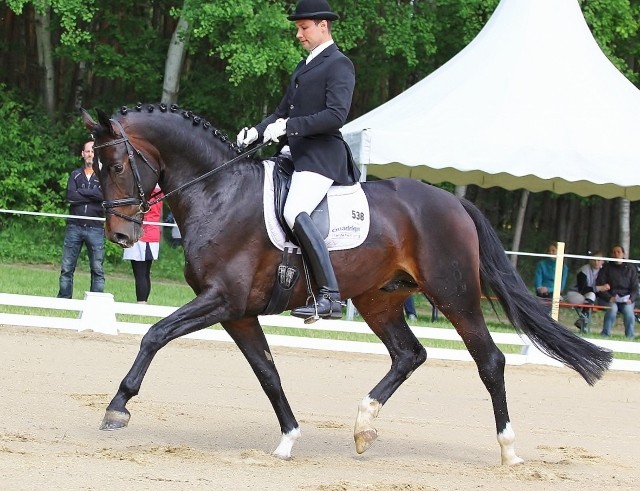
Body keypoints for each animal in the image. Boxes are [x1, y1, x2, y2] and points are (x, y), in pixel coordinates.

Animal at [80, 103, 608, 466]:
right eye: (97, 168)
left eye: (118, 166)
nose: (121, 235)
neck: (219, 192)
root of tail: (455, 203)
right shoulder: (239, 313)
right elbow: (267, 372)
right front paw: (288, 438)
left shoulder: (221, 301)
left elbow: (155, 334)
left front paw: (117, 408)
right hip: (379, 299)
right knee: (409, 354)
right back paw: (363, 425)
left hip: (454, 294)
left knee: (490, 361)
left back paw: (508, 449)